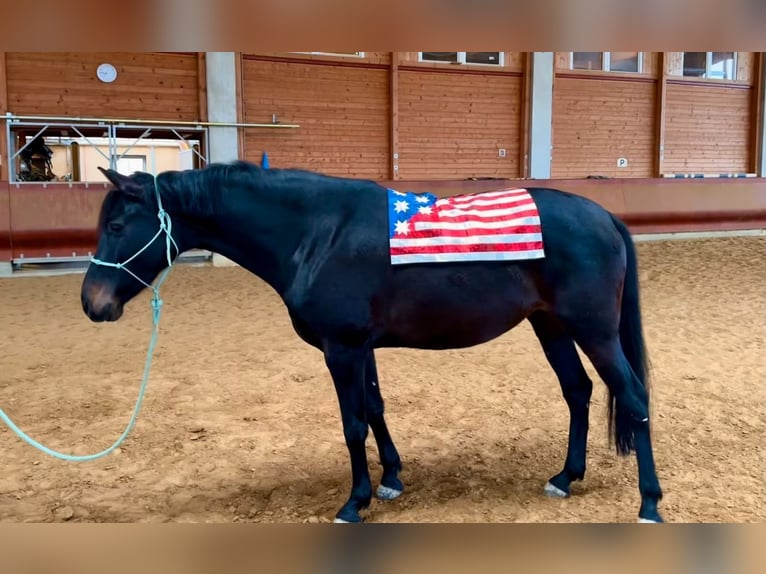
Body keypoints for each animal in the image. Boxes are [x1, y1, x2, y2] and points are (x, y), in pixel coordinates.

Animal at [80, 161, 664, 524]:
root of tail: (605, 216)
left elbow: (353, 424)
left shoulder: (342, 349)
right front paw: (391, 479)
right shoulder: (362, 349)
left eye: (117, 225)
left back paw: (650, 503)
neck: (318, 233)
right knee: (578, 392)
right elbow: (377, 409)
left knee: (633, 398)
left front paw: (355, 501)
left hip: (593, 330)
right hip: (551, 326)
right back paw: (566, 477)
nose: (92, 303)